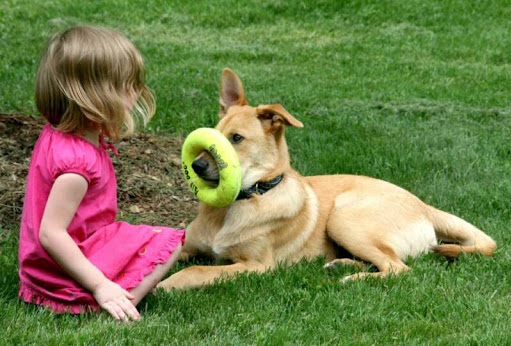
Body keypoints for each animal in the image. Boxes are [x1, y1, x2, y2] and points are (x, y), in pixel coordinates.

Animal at [158, 68, 498, 290]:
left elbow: (196, 270)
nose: (196, 166)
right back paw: (341, 265)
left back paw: (353, 279)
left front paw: (166, 285)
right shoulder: (186, 246)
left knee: (399, 268)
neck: (240, 202)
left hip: (345, 217)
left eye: (237, 139)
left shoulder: (256, 265)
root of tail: (424, 206)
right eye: (214, 135)